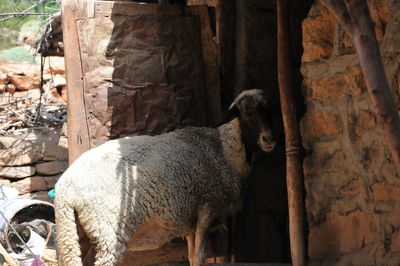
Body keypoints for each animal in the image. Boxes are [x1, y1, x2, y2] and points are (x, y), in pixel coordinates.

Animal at [55, 89, 276, 266]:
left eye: (269, 112)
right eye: (246, 115)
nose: (269, 140)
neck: (224, 150)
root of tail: (65, 189)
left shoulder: (189, 220)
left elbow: (191, 256)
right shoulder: (207, 207)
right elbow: (200, 257)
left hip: (77, 231)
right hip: (109, 229)